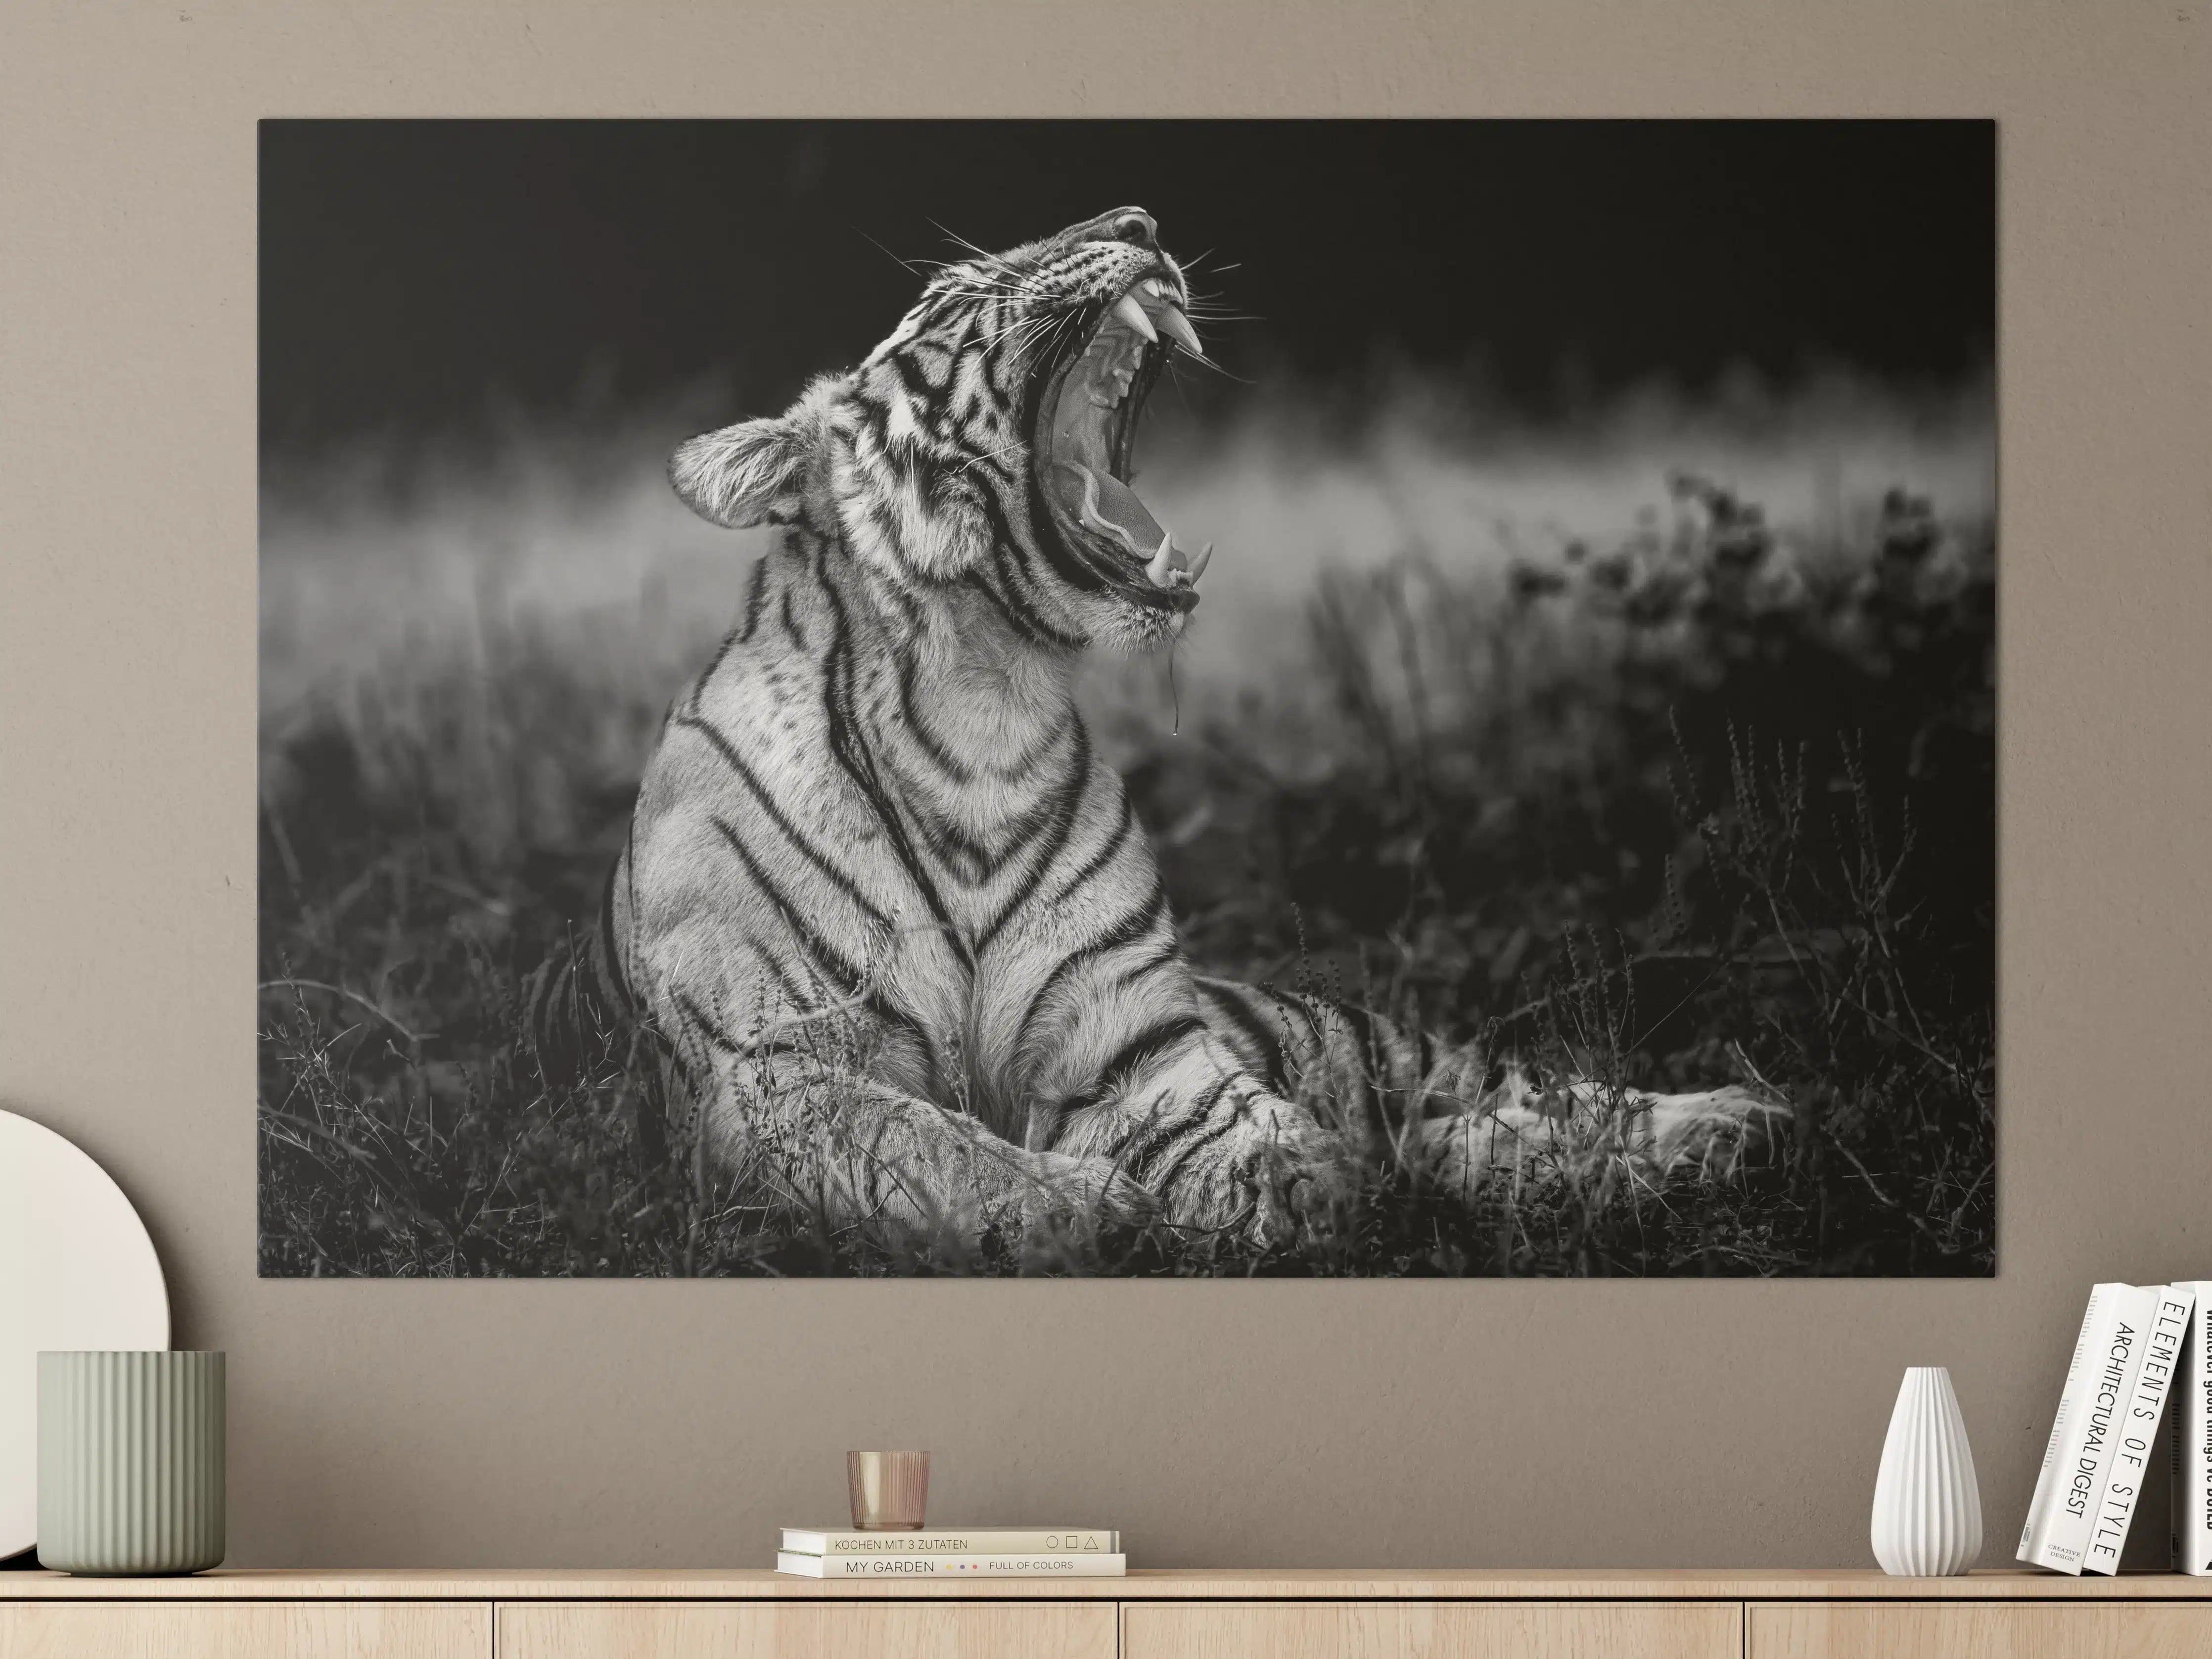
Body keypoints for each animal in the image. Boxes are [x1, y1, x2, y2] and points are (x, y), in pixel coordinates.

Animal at [542, 206, 1779, 1255]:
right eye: (955, 290)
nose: (1138, 223)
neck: (980, 709)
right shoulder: (775, 1072)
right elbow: (935, 1152)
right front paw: (1097, 1207)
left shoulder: (1130, 1047)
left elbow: (1236, 1126)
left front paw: (1303, 1184)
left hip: (1356, 1036)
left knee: (1524, 1090)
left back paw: (1727, 1122)